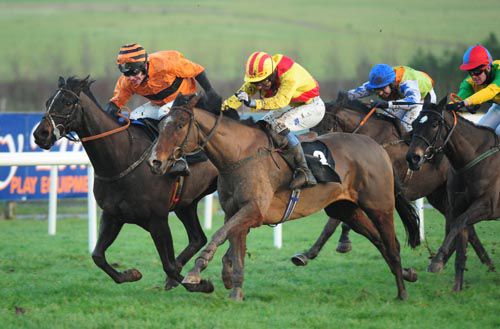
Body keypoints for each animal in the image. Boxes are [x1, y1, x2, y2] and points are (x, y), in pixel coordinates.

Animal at [32, 77, 217, 292]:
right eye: (48, 102)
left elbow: (169, 266)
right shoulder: (113, 215)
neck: (122, 158)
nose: (40, 134)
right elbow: (97, 256)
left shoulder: (157, 219)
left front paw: (202, 285)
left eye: (68, 102)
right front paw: (131, 274)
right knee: (198, 238)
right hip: (186, 203)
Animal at [149, 92, 422, 300]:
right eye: (161, 126)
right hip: (347, 209)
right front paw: (234, 287)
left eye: (179, 125)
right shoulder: (235, 211)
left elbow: (219, 236)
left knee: (391, 244)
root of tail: (377, 147)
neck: (238, 156)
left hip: (379, 206)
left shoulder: (253, 210)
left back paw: (402, 293)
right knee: (380, 241)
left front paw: (196, 273)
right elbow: (235, 247)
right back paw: (407, 275)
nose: (155, 161)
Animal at [292, 98, 494, 270]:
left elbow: (333, 222)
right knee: (466, 225)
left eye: (326, 126)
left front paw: (318, 250)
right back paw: (483, 261)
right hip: (439, 194)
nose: (310, 154)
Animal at [408, 97, 498, 290]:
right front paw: (457, 288)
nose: (412, 158)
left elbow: (457, 224)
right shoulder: (458, 206)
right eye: (414, 123)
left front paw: (437, 260)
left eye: (435, 124)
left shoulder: (488, 205)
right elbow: (461, 235)